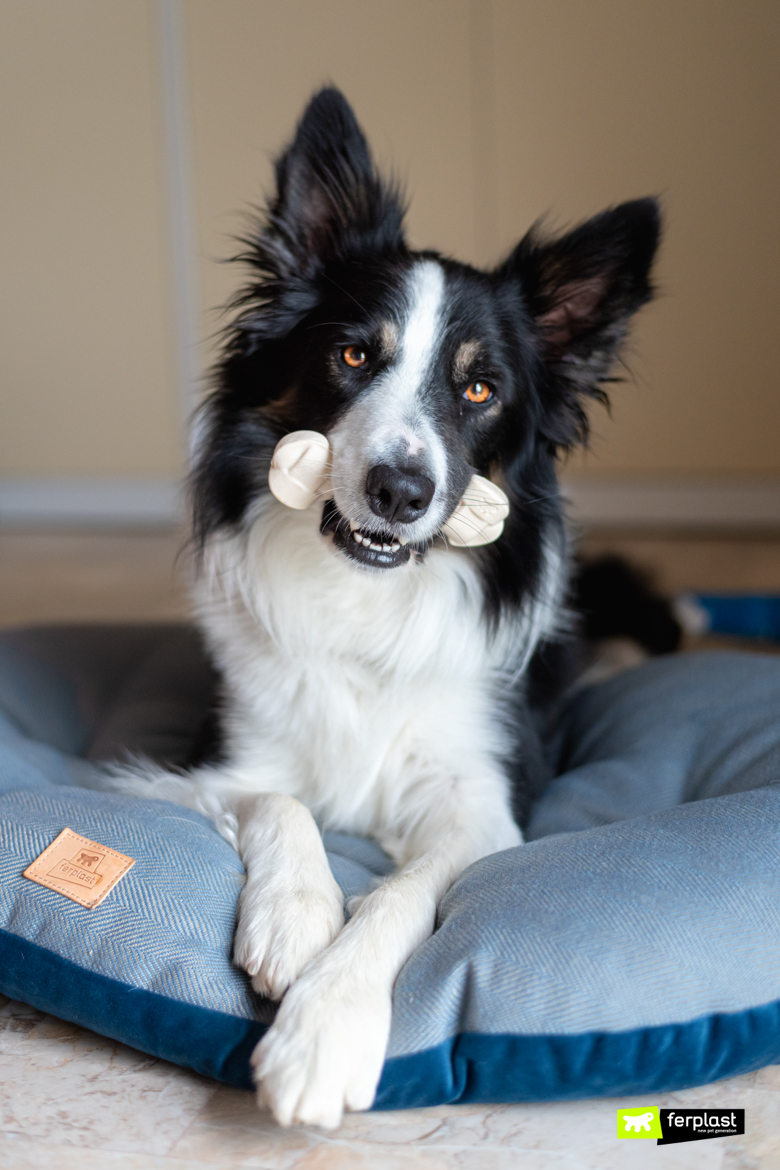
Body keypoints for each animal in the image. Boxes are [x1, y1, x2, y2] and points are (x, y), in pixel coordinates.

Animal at [122, 86, 659, 1127]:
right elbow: (281, 799)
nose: (401, 491)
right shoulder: (216, 758)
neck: (366, 597)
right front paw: (296, 919)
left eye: (480, 388)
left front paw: (323, 1031)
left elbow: (400, 894)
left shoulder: (480, 802)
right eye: (352, 354)